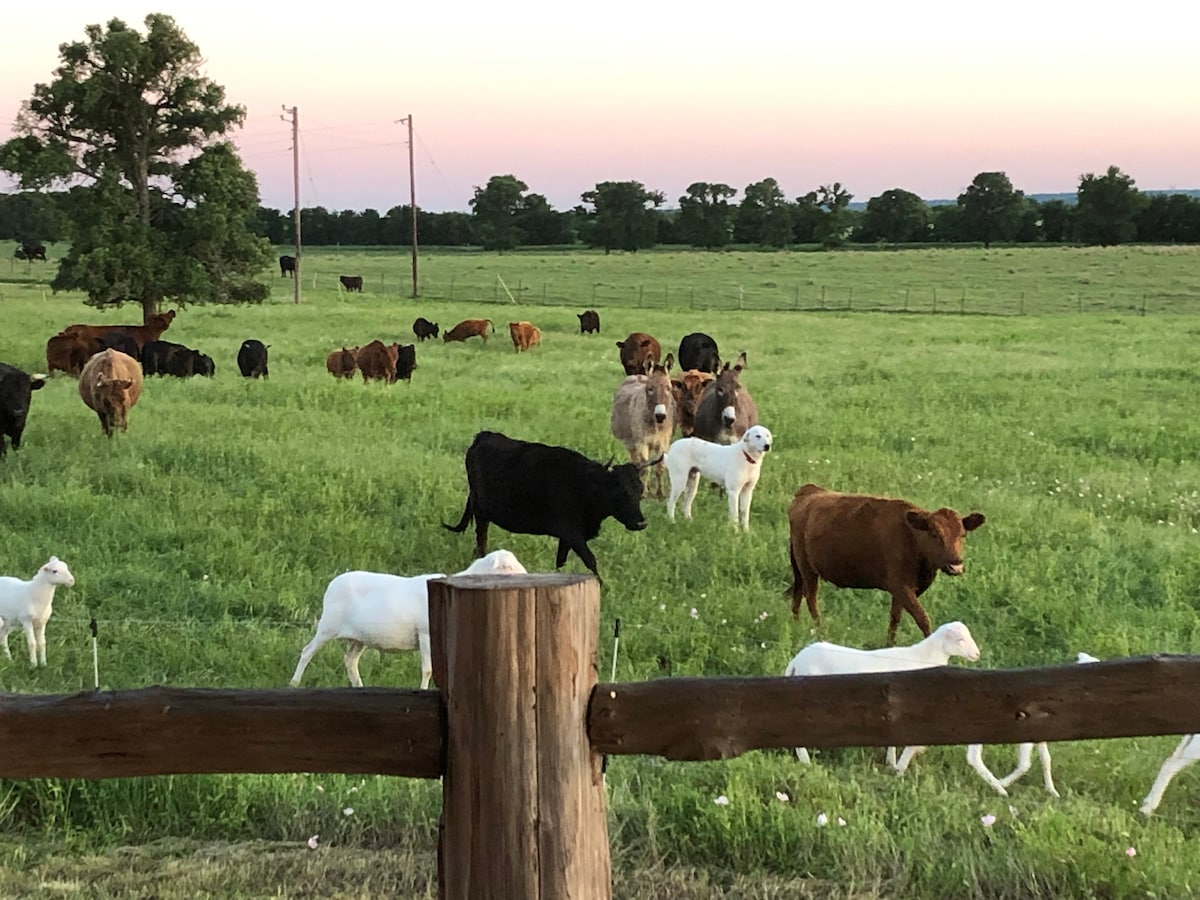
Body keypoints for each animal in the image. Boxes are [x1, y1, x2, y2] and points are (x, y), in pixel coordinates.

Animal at [290, 550, 527, 690]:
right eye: (507, 566)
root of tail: (334, 582)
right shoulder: (425, 633)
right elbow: (428, 669)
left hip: (359, 638)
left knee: (350, 661)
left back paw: (359, 686)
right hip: (327, 626)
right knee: (307, 652)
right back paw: (294, 683)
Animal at [443, 430, 649, 580]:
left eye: (640, 491)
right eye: (621, 491)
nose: (641, 523)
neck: (583, 484)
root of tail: (484, 435)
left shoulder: (567, 536)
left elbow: (561, 561)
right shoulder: (572, 533)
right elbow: (591, 560)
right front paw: (602, 585)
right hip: (481, 511)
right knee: (482, 539)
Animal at [610, 354, 676, 498]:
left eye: (668, 388)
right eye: (650, 389)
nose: (660, 416)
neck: (655, 425)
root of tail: (637, 375)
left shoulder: (663, 444)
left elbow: (660, 467)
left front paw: (660, 493)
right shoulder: (641, 443)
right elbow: (646, 468)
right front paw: (644, 493)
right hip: (630, 442)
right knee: (637, 462)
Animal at [787, 483, 987, 645]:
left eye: (963, 534)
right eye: (934, 534)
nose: (956, 565)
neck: (912, 539)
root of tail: (810, 490)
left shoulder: (902, 590)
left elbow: (895, 617)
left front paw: (890, 644)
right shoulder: (900, 585)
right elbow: (923, 618)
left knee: (798, 593)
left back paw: (795, 624)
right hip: (807, 567)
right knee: (811, 598)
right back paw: (821, 633)